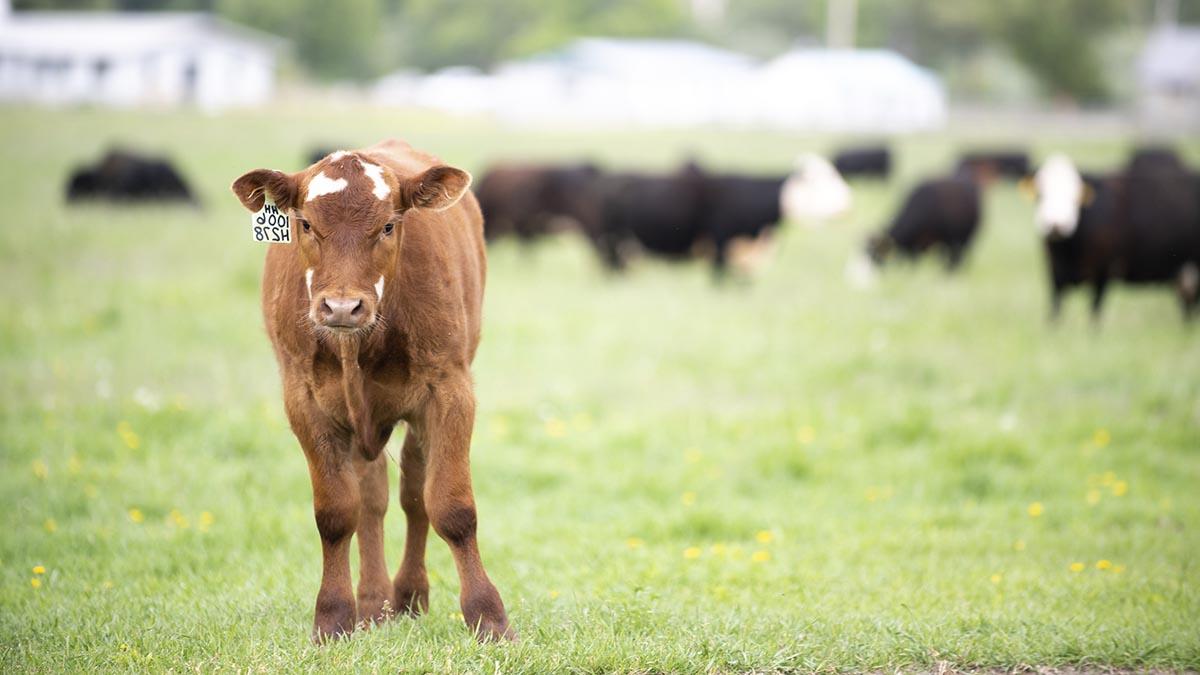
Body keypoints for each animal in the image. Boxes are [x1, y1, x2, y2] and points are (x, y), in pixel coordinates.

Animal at [231, 138, 513, 638]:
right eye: (306, 223)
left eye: (387, 225)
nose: (343, 307)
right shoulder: (303, 402)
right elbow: (336, 512)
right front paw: (333, 617)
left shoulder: (450, 390)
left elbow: (452, 507)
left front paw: (488, 616)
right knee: (372, 498)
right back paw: (373, 601)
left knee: (414, 494)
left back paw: (408, 594)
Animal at [1022, 153, 1200, 319]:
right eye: (1040, 195)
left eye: (1075, 197)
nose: (1056, 226)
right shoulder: (1055, 275)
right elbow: (1055, 314)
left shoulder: (1103, 274)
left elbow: (1094, 314)